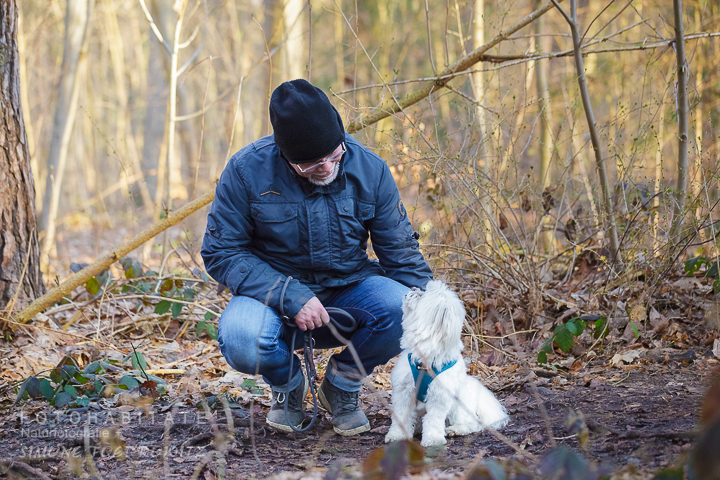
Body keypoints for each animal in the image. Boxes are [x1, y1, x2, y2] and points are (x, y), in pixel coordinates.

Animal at [385, 280, 509, 447]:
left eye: (422, 295)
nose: (412, 288)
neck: (425, 356)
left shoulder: (439, 395)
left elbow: (434, 418)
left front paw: (433, 439)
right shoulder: (403, 391)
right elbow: (401, 415)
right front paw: (397, 435)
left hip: (458, 406)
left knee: (472, 424)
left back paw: (454, 430)